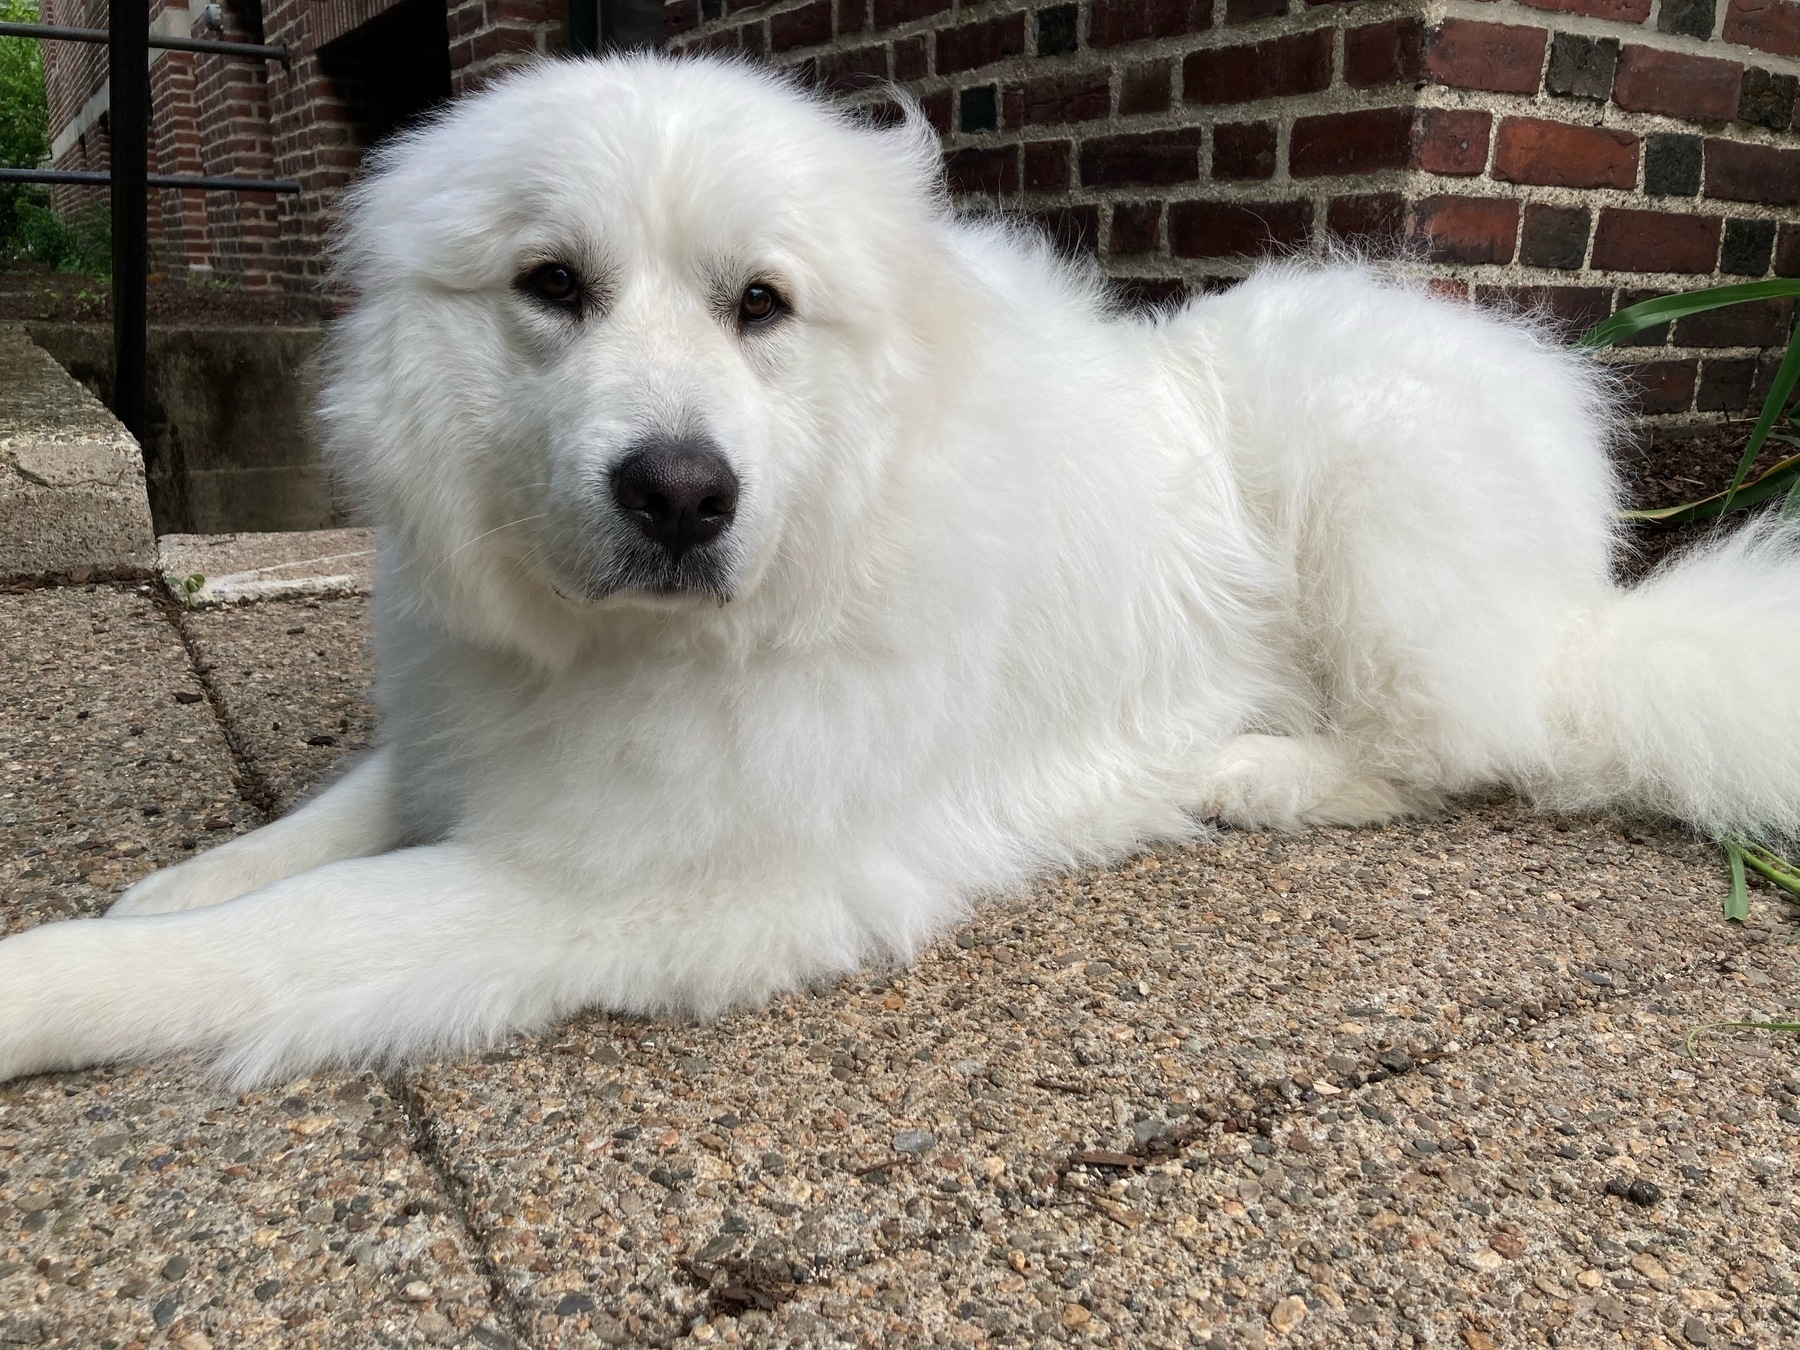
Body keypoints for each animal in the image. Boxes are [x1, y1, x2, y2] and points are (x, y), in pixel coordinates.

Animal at [3, 58, 1800, 1087]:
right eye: (553, 284)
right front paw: (179, 876)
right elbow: (323, 825)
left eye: (762, 305)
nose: (680, 493)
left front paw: (53, 981)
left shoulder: (609, 887)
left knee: (1476, 742)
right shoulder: (478, 731)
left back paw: (1259, 771)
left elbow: (279, 940)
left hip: (1364, 475)